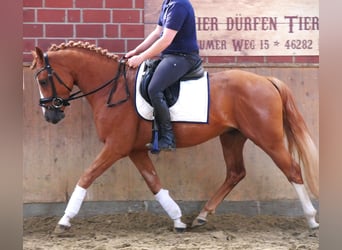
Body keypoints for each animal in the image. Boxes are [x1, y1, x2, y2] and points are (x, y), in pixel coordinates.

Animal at [30, 41, 320, 232]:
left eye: (43, 80)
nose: (50, 116)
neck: (113, 89)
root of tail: (267, 81)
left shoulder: (116, 147)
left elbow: (86, 176)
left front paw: (64, 220)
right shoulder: (134, 150)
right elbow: (154, 182)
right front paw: (178, 219)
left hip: (267, 138)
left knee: (292, 171)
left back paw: (311, 219)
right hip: (232, 137)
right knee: (235, 173)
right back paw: (202, 216)